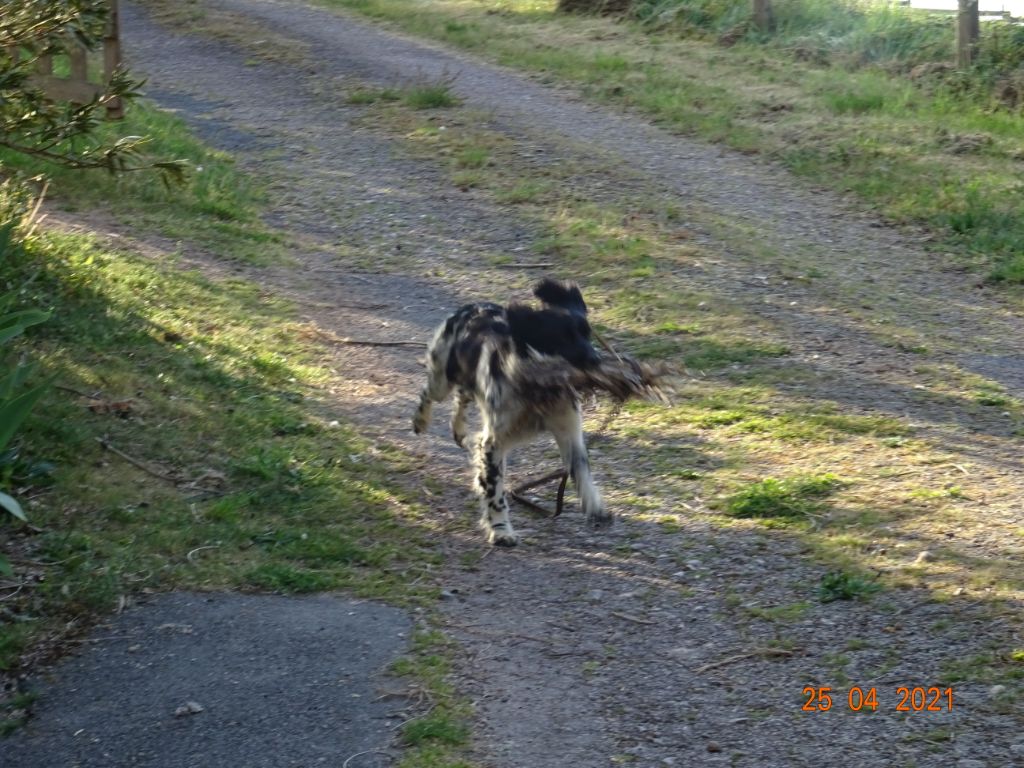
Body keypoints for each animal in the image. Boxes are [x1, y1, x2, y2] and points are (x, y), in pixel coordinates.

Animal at [413, 280, 610, 544]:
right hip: (442, 380)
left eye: (587, 334)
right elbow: (495, 493)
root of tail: (471, 306)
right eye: (562, 337)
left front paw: (594, 505)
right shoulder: (493, 443)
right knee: (429, 393)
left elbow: (581, 471)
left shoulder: (569, 432)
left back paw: (459, 430)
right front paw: (500, 529)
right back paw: (420, 421)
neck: (540, 394)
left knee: (462, 397)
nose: (596, 359)